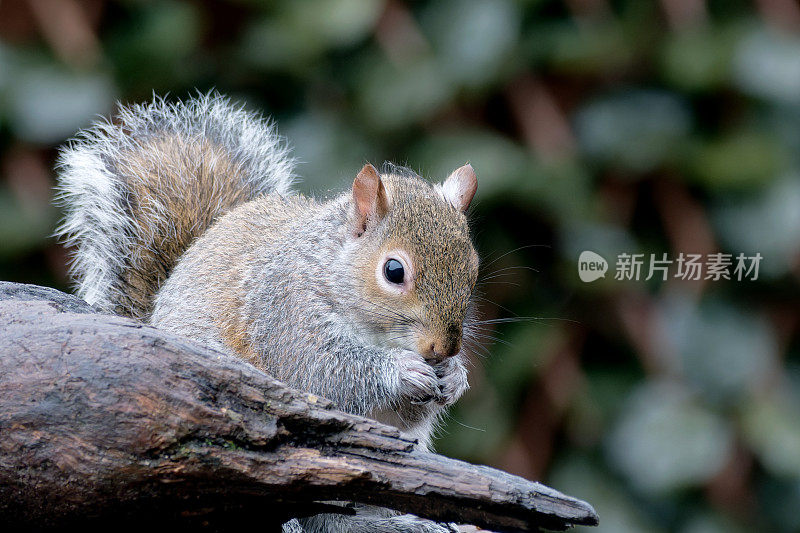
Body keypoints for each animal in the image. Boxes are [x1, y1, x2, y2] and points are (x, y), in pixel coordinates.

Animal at [57, 93, 482, 528]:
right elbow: (323, 375)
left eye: (474, 268)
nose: (442, 349)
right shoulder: (287, 317)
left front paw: (453, 377)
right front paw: (403, 371)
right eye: (393, 271)